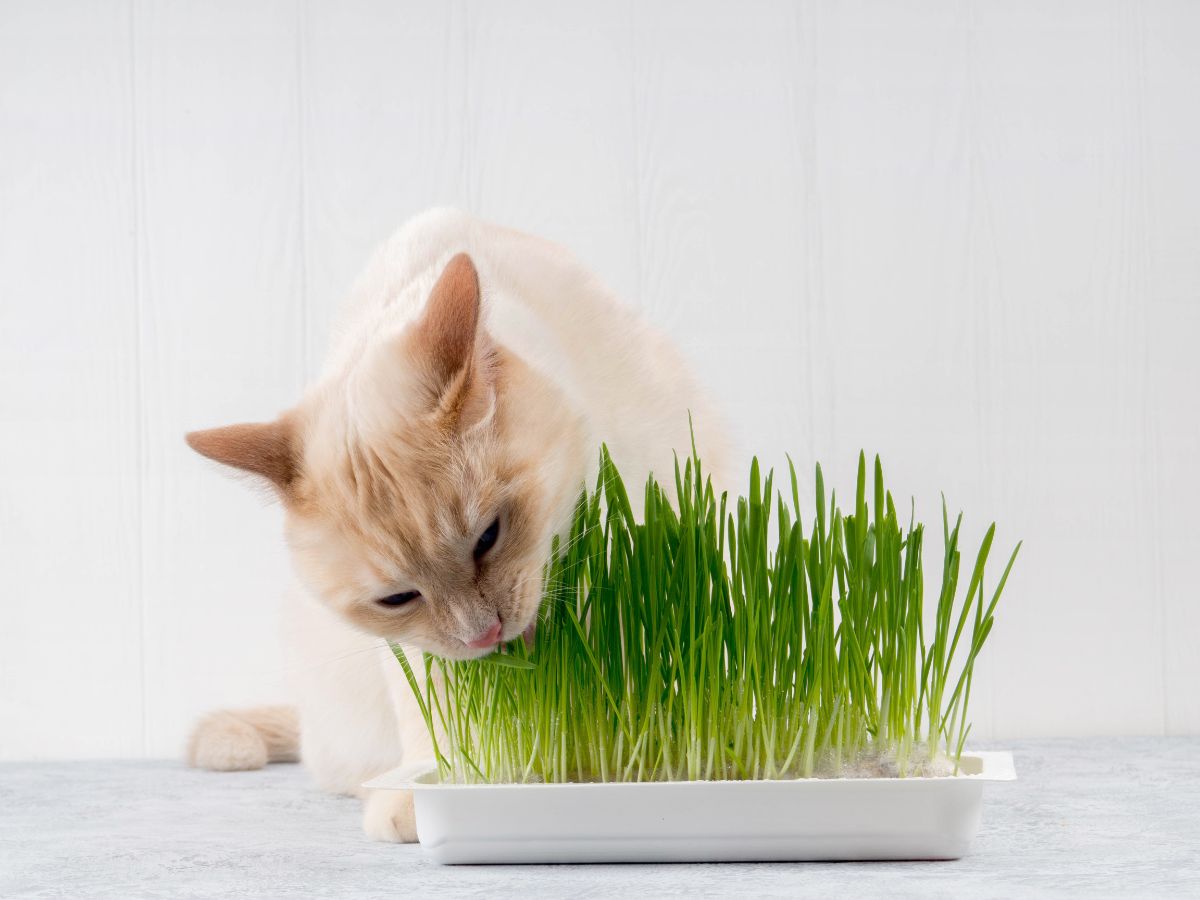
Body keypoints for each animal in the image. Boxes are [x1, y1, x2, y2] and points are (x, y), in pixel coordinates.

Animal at [186, 207, 724, 844]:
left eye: (488, 537)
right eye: (398, 599)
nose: (484, 634)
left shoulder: (641, 540)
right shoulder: (416, 649)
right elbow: (442, 725)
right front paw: (438, 795)